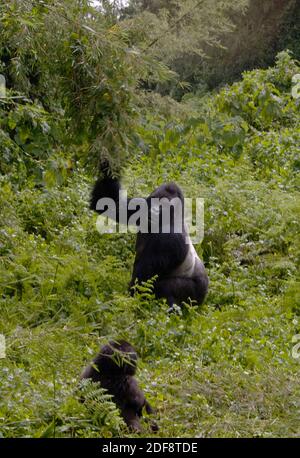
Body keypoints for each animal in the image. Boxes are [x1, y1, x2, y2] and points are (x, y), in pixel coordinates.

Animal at [90, 163, 210, 310]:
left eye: (164, 205)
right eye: (154, 201)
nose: (153, 211)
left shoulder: (170, 239)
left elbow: (142, 281)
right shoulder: (141, 206)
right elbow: (109, 202)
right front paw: (108, 163)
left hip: (196, 293)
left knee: (167, 288)